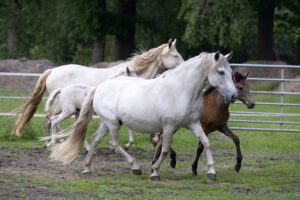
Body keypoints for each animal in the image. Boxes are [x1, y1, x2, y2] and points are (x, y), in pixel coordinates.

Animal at [13, 38, 183, 141]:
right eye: (175, 55)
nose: (184, 65)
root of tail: (52, 70)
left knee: (50, 119)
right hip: (60, 106)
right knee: (50, 119)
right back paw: (55, 140)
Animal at [48, 51, 237, 181]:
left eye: (230, 71)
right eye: (221, 72)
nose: (233, 95)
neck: (181, 90)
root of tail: (100, 87)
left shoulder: (193, 124)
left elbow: (206, 142)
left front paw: (211, 171)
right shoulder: (169, 127)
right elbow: (165, 149)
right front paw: (155, 172)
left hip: (107, 123)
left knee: (95, 139)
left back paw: (87, 168)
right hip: (113, 124)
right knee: (115, 144)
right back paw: (135, 167)